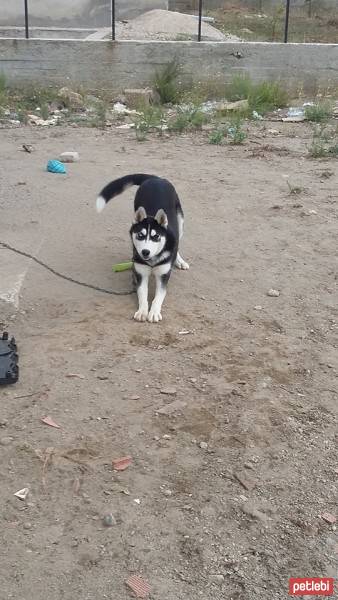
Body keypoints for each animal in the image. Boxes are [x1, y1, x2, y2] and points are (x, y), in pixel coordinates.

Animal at [96, 173, 189, 322]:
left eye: (156, 237)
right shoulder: (141, 273)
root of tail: (155, 179)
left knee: (178, 242)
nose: (145, 252)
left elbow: (158, 297)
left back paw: (179, 261)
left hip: (180, 221)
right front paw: (142, 311)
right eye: (140, 235)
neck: (152, 260)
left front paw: (154, 312)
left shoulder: (163, 275)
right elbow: (142, 294)